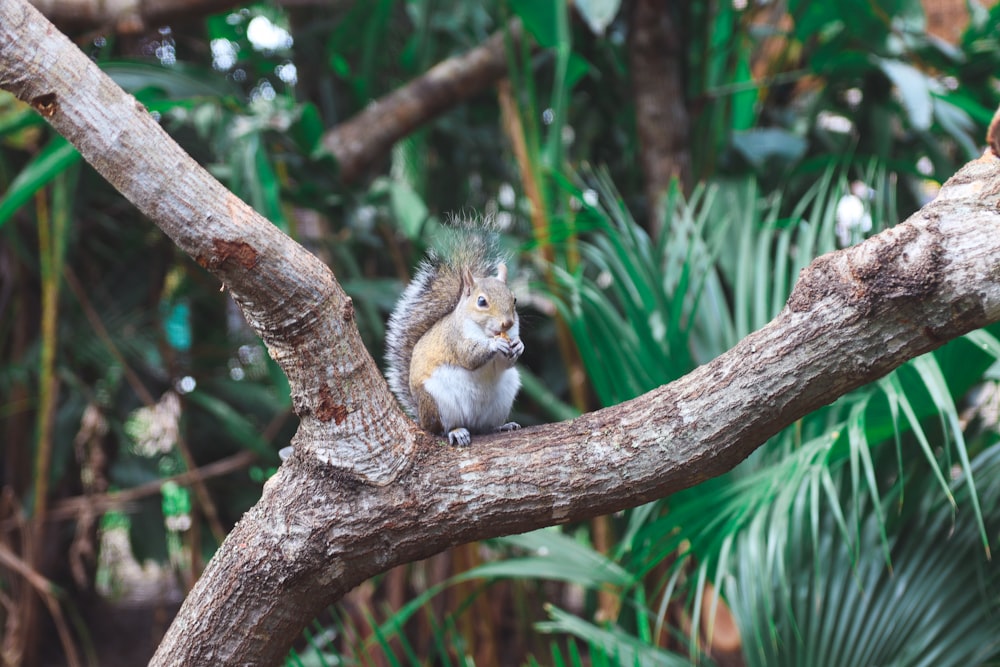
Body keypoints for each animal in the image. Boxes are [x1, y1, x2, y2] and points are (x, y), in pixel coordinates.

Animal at [382, 227, 524, 446]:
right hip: (437, 401)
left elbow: (504, 364)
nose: (507, 323)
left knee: (485, 427)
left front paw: (519, 346)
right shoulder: (454, 339)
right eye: (481, 301)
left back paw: (501, 426)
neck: (485, 331)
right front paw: (494, 345)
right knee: (441, 429)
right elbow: (468, 357)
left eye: (514, 299)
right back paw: (456, 432)